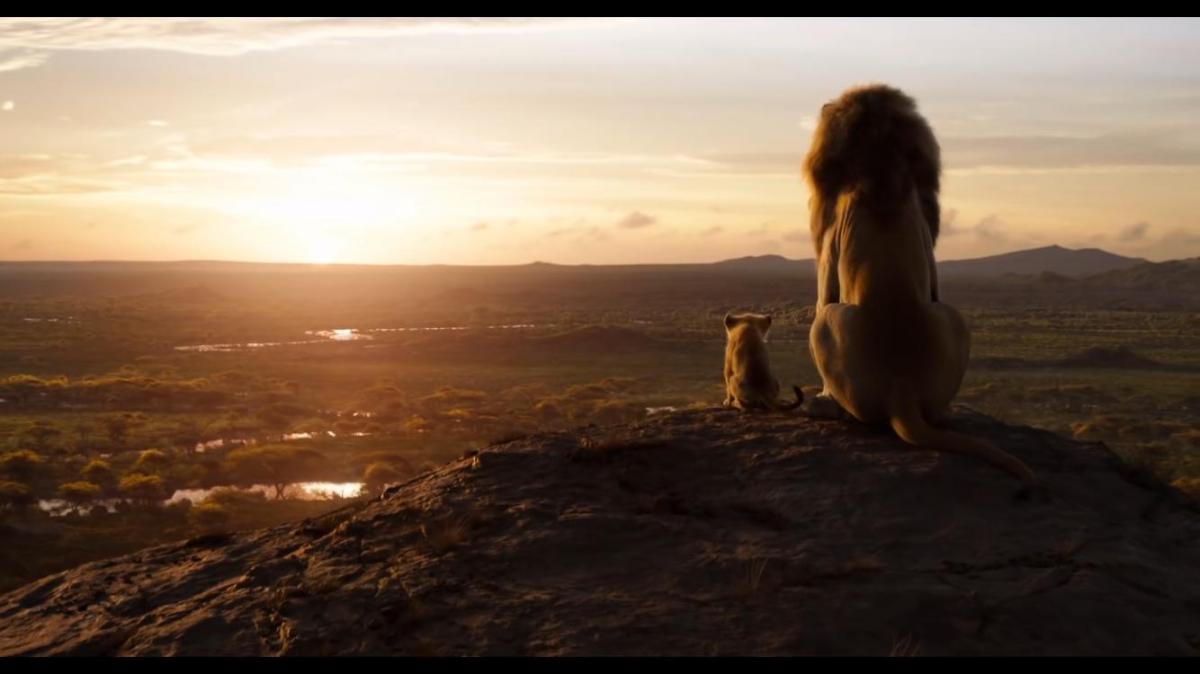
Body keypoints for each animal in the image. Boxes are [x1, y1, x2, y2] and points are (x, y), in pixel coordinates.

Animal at [802, 84, 1036, 484]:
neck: (881, 162)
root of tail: (903, 390)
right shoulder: (927, 236)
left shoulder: (830, 243)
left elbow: (822, 291)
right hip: (954, 316)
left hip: (827, 323)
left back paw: (825, 406)